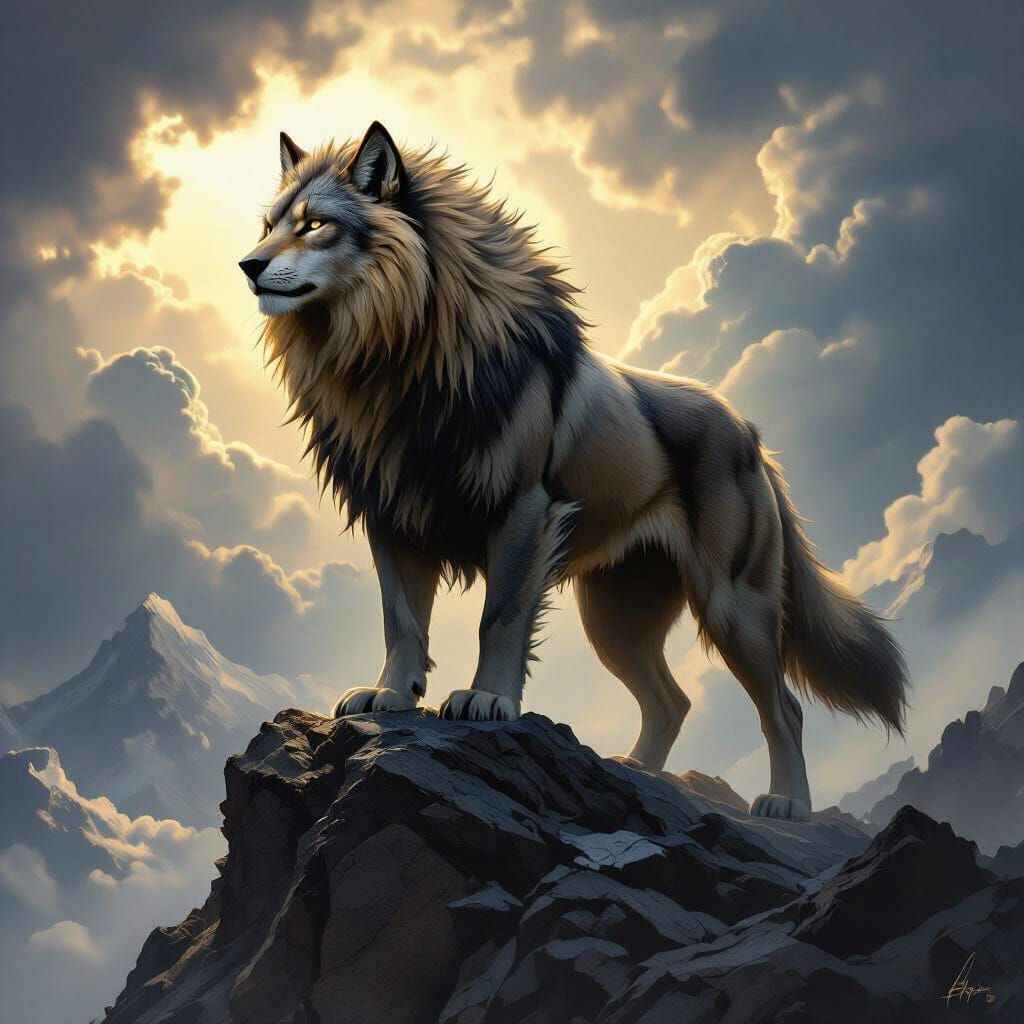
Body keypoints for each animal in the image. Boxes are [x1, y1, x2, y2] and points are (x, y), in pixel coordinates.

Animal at [239, 122, 908, 820]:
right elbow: (401, 621)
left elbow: (500, 616)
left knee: (785, 709)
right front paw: (391, 696)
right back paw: (635, 771)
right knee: (673, 702)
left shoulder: (523, 508)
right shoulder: (392, 517)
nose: (247, 266)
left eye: (315, 224)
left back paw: (787, 804)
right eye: (269, 225)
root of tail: (751, 434)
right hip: (615, 620)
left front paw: (486, 701)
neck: (389, 362)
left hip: (733, 607)